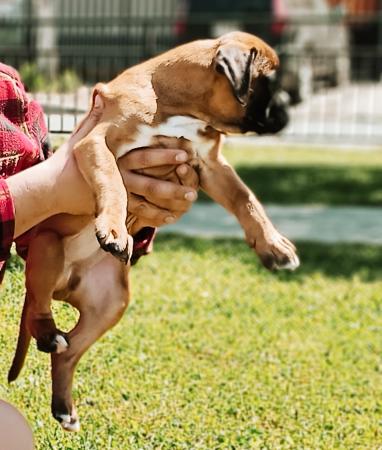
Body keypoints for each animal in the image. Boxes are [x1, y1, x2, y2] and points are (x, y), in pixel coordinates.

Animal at [7, 29, 296, 430]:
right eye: (269, 84)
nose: (290, 107)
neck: (178, 109)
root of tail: (68, 280)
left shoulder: (211, 164)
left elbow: (246, 199)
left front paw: (274, 246)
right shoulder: (96, 143)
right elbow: (112, 180)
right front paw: (113, 229)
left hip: (111, 302)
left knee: (69, 350)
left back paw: (64, 406)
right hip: (47, 246)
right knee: (36, 301)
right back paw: (49, 333)